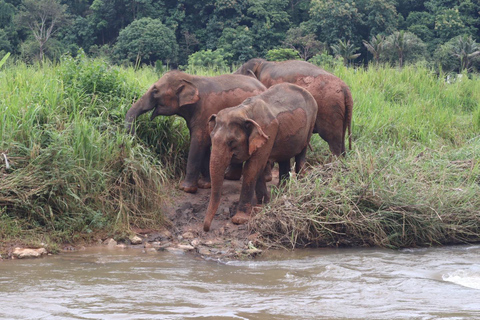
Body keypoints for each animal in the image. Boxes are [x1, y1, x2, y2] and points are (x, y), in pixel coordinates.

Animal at [124, 69, 266, 192]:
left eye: (155, 91)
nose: (137, 141)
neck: (191, 79)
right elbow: (204, 143)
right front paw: (205, 185)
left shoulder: (206, 112)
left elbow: (198, 143)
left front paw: (185, 188)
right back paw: (230, 177)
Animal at [203, 82, 318, 232]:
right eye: (211, 137)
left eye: (231, 142)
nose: (206, 228)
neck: (244, 111)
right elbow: (259, 167)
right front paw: (263, 203)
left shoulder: (268, 132)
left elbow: (252, 167)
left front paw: (239, 219)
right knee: (284, 157)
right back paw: (282, 190)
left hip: (311, 123)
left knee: (300, 155)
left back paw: (300, 186)